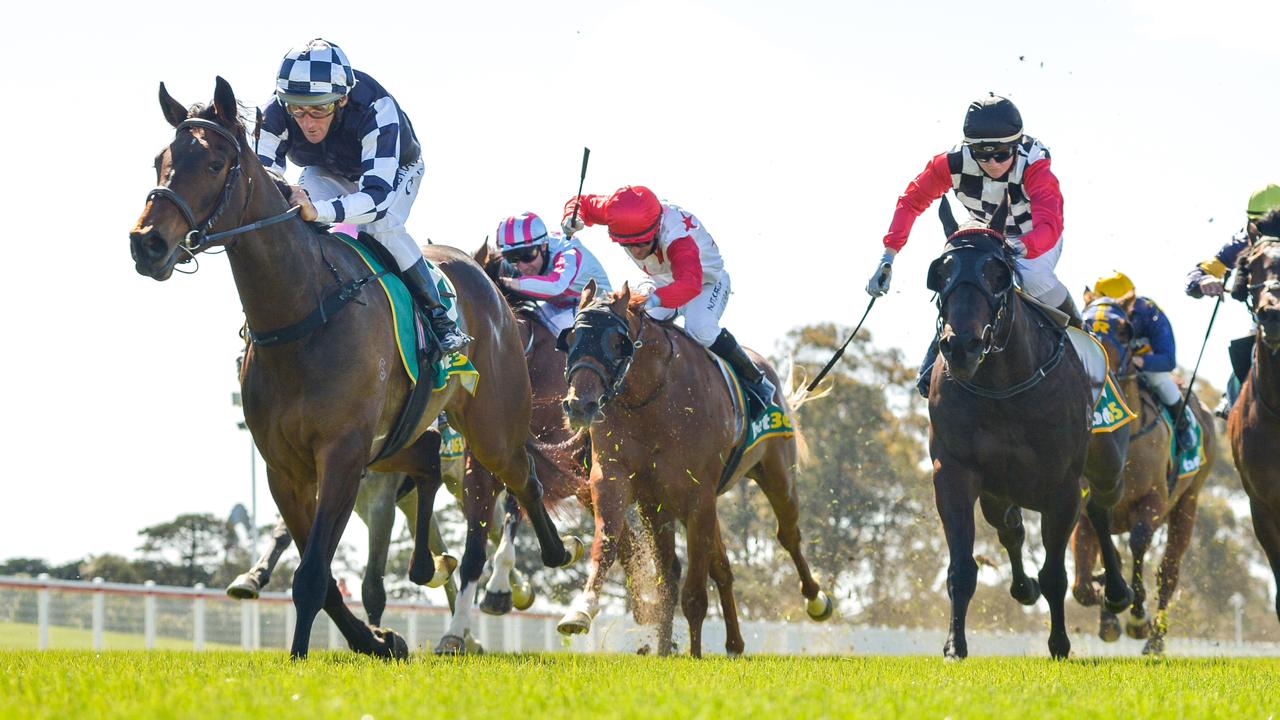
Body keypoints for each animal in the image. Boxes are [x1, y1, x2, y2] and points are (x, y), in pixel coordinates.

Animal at [127, 78, 578, 655]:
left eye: (212, 164)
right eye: (160, 159)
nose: (147, 242)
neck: (304, 311)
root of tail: (488, 279)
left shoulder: (343, 454)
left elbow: (314, 574)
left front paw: (305, 654)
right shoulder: (286, 468)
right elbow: (321, 576)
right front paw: (375, 640)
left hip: (490, 428)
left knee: (522, 481)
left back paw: (545, 559)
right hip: (407, 442)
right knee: (440, 475)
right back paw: (436, 569)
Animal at [558, 280, 829, 655]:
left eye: (616, 342)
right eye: (570, 338)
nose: (578, 405)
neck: (652, 399)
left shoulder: (698, 496)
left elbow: (695, 595)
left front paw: (694, 655)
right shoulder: (619, 482)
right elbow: (613, 546)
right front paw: (581, 610)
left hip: (777, 477)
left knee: (788, 535)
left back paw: (815, 600)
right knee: (718, 568)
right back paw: (732, 643)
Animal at [926, 204, 1136, 661]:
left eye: (997, 273)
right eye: (940, 273)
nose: (961, 345)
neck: (1003, 387)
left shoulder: (1061, 486)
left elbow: (1056, 572)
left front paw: (1059, 643)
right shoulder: (954, 472)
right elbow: (962, 567)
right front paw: (954, 645)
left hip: (1108, 466)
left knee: (1100, 509)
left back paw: (1117, 591)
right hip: (999, 489)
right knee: (1010, 527)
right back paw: (1024, 587)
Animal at [1075, 294, 1213, 653]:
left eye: (1125, 330)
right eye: (1085, 323)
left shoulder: (1153, 501)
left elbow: (1137, 544)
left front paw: (1137, 616)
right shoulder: (1087, 508)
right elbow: (1085, 581)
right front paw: (1107, 607)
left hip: (1187, 505)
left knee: (1168, 573)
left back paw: (1154, 640)